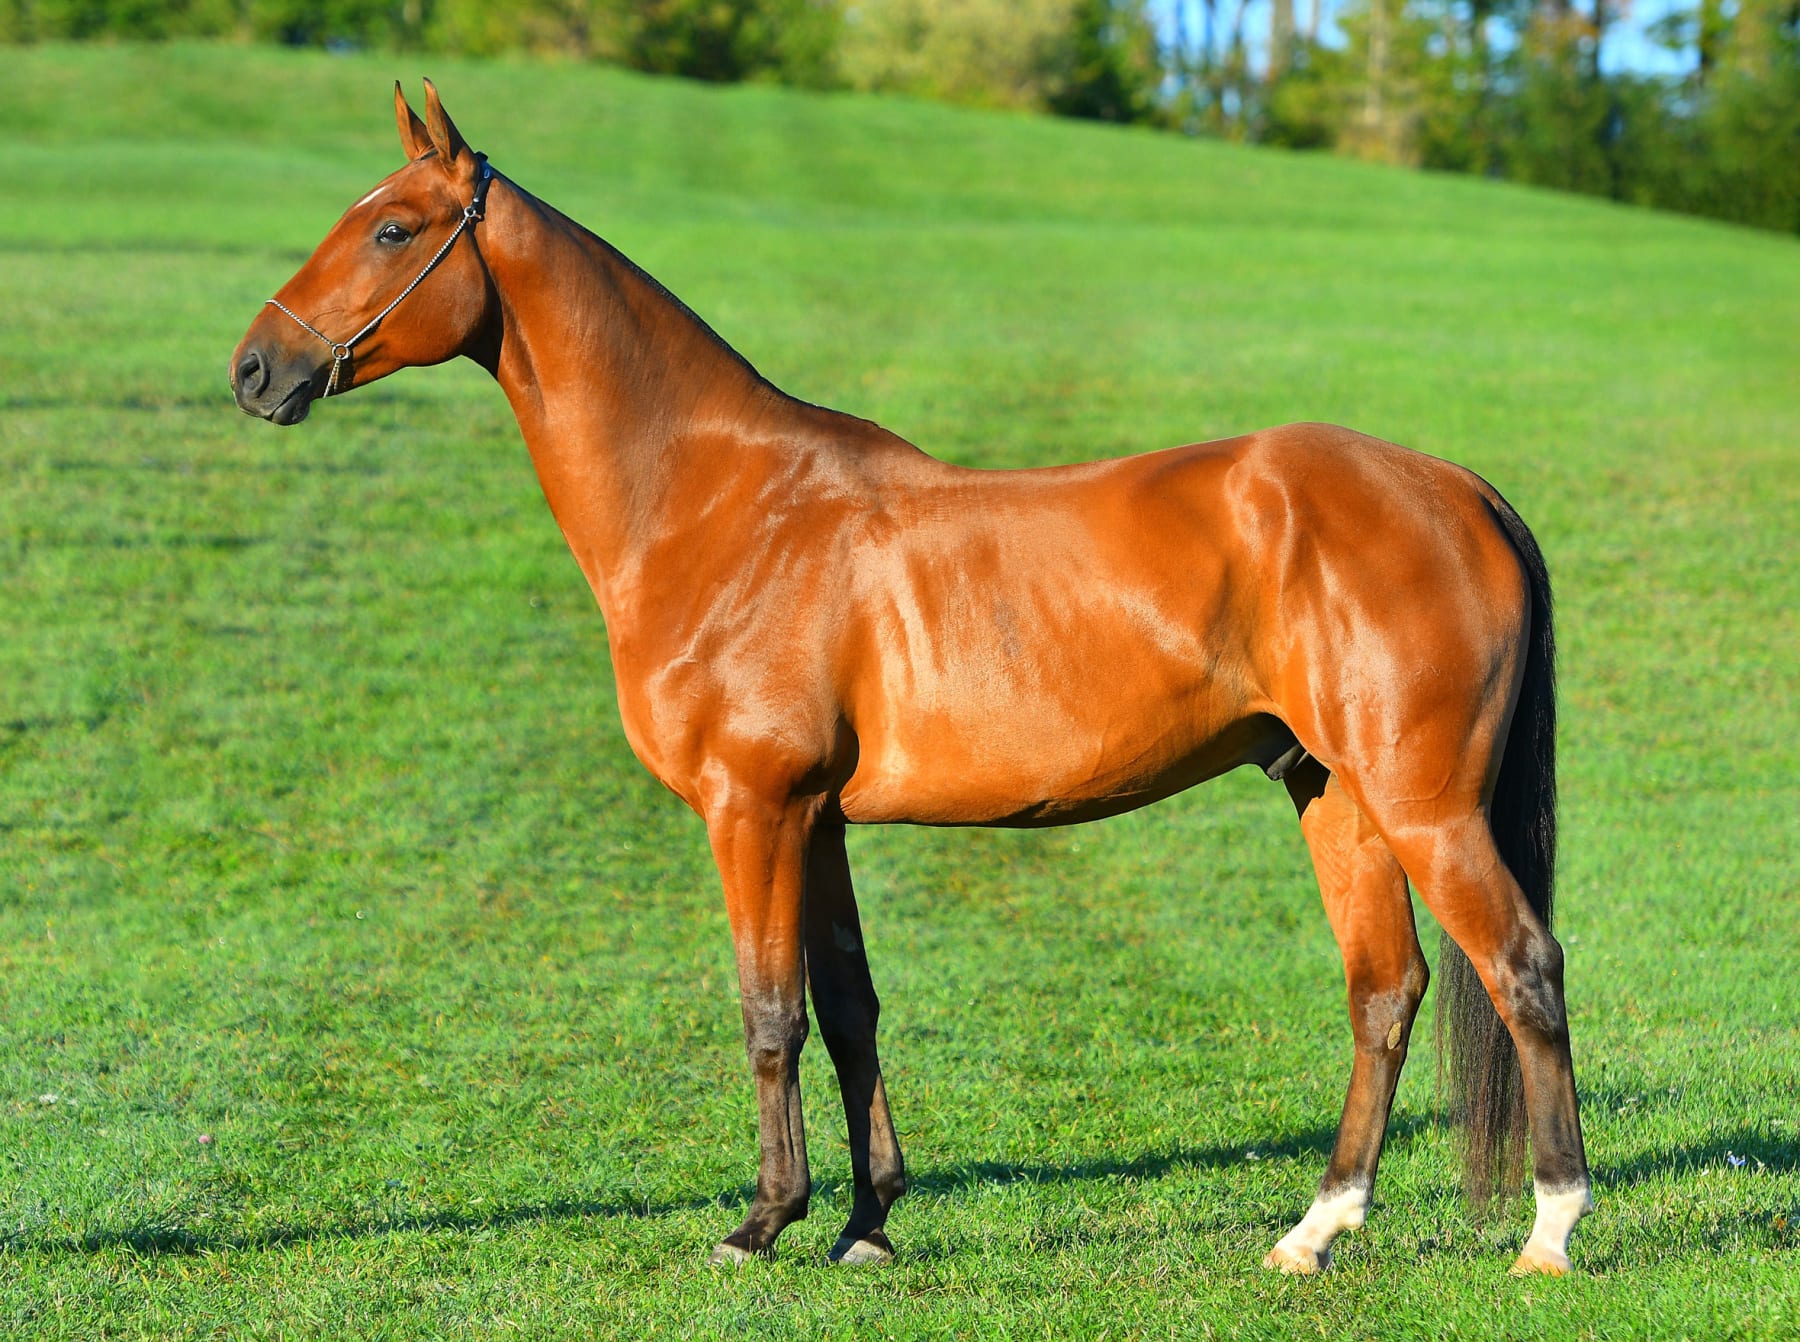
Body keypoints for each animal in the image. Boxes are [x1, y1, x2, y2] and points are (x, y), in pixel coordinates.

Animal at [229, 81, 1591, 1275]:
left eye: (393, 227)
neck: (722, 505)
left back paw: (1550, 1229)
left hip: (1424, 805)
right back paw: (1316, 1230)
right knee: (1386, 989)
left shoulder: (753, 809)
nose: (253, 370)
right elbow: (848, 1007)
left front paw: (760, 1222)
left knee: (1523, 967)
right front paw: (867, 1221)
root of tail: (1454, 486)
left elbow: (768, 1012)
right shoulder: (818, 820)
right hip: (1335, 793)